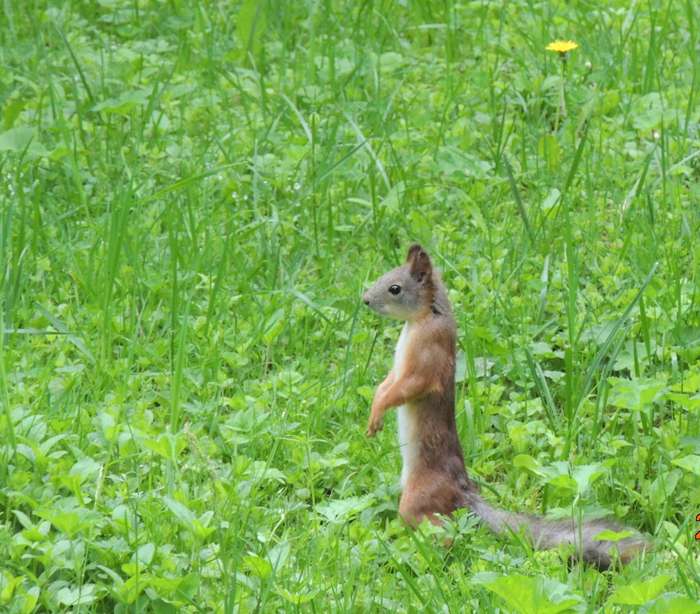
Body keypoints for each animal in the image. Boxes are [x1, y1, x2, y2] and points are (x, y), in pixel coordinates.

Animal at [364, 243, 648, 572]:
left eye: (395, 288)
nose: (365, 299)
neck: (423, 318)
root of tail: (462, 492)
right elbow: (387, 384)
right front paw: (374, 410)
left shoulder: (428, 356)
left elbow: (408, 386)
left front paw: (377, 413)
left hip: (415, 500)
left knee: (441, 528)